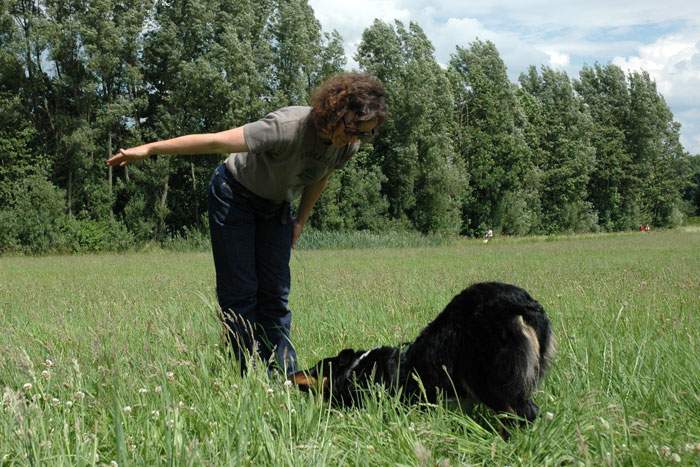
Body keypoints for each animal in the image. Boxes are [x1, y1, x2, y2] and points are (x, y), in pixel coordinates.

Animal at [290, 282, 552, 428]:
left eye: (315, 368)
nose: (290, 373)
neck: (354, 369)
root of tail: (524, 303)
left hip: (489, 378)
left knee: (523, 413)